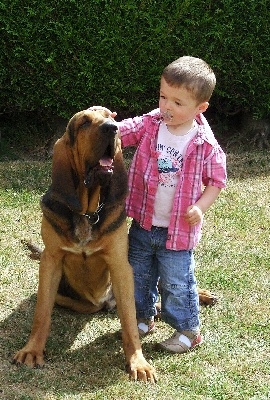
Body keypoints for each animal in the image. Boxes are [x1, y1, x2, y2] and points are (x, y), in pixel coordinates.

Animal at [13, 108, 157, 382]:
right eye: (84, 123)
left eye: (112, 115)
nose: (112, 128)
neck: (88, 213)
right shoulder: (50, 261)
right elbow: (41, 314)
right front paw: (32, 350)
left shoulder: (121, 266)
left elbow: (130, 322)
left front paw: (138, 363)